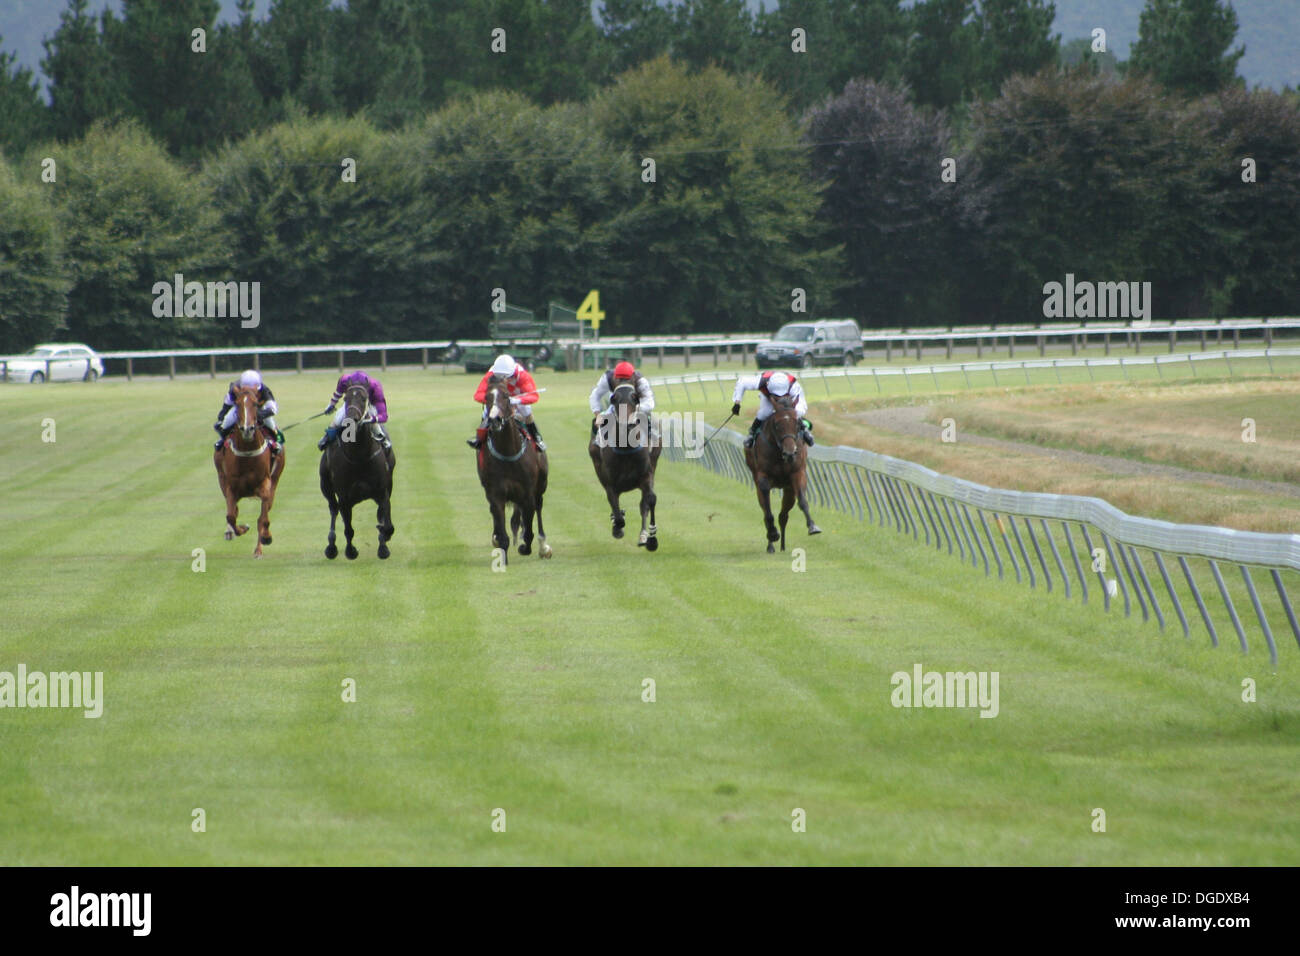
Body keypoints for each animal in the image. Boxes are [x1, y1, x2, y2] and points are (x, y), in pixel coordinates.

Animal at [214, 382, 286, 556]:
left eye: (255, 404)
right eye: (237, 404)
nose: (247, 429)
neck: (247, 452)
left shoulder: (265, 484)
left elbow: (263, 518)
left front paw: (266, 538)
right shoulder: (231, 487)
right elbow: (231, 516)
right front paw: (241, 529)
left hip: (276, 478)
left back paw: (259, 547)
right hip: (221, 479)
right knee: (233, 511)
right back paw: (230, 532)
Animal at [318, 382, 392, 561]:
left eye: (364, 398)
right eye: (346, 398)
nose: (351, 419)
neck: (359, 456)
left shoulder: (383, 492)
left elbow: (386, 523)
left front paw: (383, 546)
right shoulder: (344, 498)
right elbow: (348, 529)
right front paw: (351, 551)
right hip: (326, 486)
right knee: (333, 509)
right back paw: (331, 547)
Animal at [475, 379, 551, 564]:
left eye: (506, 396)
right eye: (487, 397)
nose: (495, 420)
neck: (507, 452)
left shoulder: (527, 494)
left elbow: (529, 529)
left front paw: (525, 547)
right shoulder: (495, 494)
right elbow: (502, 530)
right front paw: (502, 555)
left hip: (540, 486)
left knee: (539, 507)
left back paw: (543, 546)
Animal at [590, 377, 660, 548]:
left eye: (635, 397)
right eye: (613, 398)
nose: (627, 424)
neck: (626, 446)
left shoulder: (646, 475)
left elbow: (650, 500)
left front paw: (651, 538)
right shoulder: (610, 483)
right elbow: (616, 510)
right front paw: (617, 526)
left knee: (643, 504)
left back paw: (643, 535)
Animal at [743, 395, 821, 554]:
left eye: (797, 423)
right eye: (777, 424)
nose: (790, 452)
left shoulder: (797, 473)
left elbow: (802, 501)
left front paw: (812, 526)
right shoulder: (763, 478)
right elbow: (767, 510)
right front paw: (773, 534)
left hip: (788, 489)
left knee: (783, 516)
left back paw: (783, 546)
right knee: (766, 511)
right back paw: (771, 544)